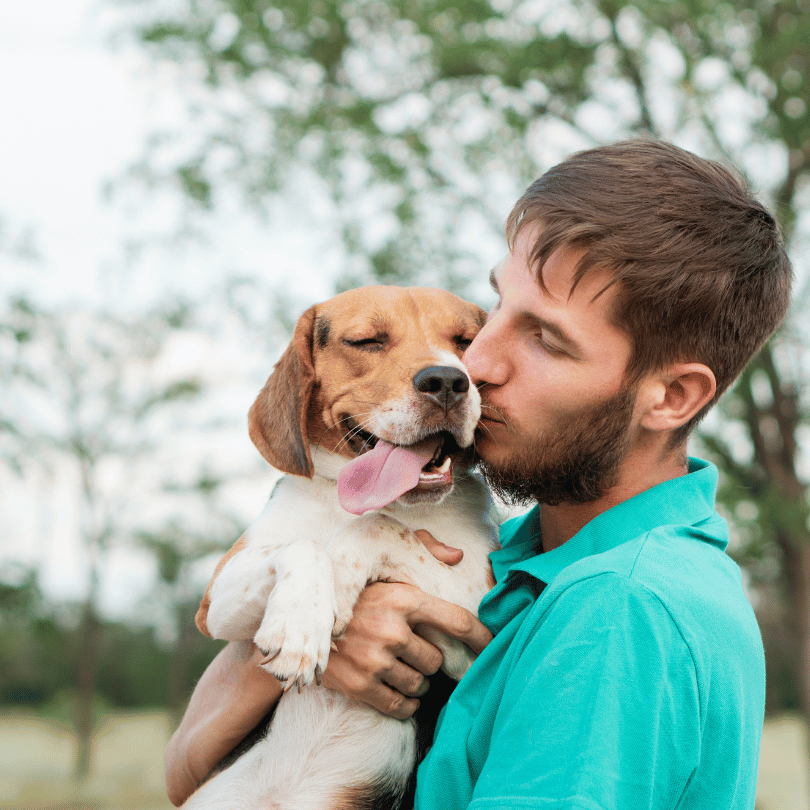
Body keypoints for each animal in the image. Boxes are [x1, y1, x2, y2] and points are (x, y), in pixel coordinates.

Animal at [185, 286, 498, 808]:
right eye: (368, 341)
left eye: (467, 342)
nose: (448, 381)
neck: (355, 501)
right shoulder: (217, 599)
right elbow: (305, 545)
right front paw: (298, 626)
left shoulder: (477, 626)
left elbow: (377, 529)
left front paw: (342, 581)